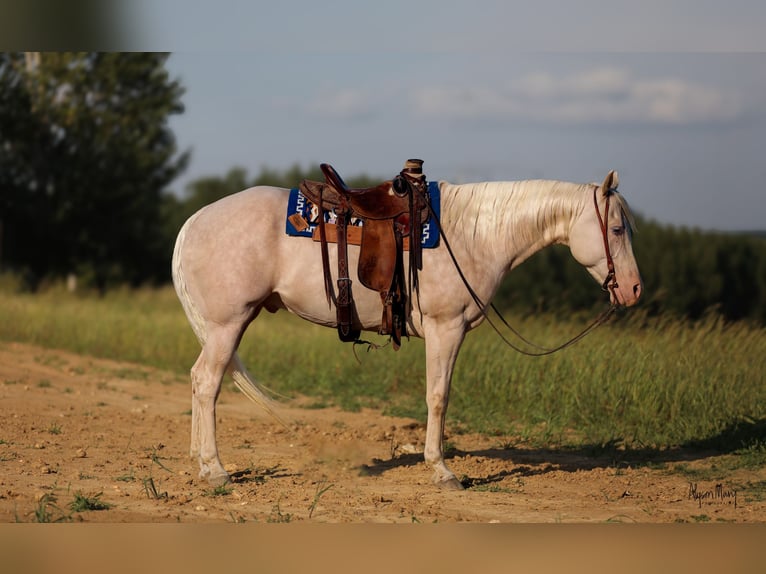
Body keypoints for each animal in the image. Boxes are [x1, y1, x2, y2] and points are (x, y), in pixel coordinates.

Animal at [172, 169, 640, 488]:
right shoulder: (446, 329)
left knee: (196, 379)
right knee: (208, 383)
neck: (474, 236)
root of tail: (194, 221)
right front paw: (442, 470)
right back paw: (215, 469)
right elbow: (438, 396)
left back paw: (199, 460)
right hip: (227, 324)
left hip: (222, 328)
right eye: (616, 228)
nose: (634, 288)